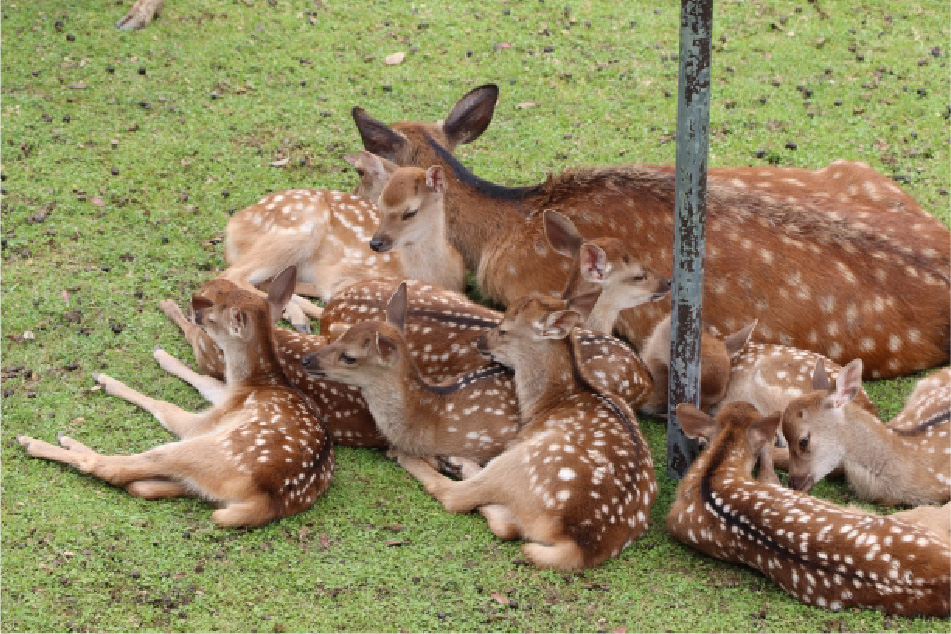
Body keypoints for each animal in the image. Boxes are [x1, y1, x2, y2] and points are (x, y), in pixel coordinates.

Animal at [17, 269, 335, 527]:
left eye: (214, 316)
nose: (197, 314)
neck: (254, 383)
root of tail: (267, 502)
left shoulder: (208, 421)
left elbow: (166, 408)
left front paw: (107, 380)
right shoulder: (226, 398)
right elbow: (205, 382)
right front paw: (161, 356)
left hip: (208, 449)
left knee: (115, 469)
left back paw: (40, 441)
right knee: (150, 485)